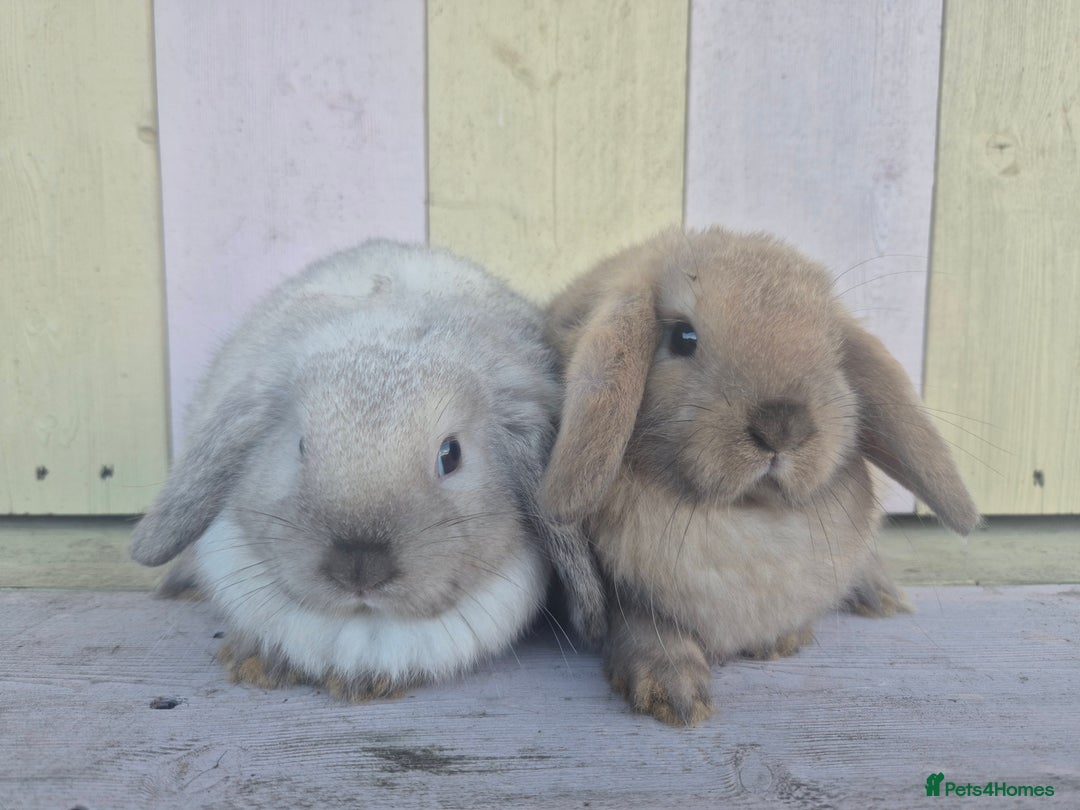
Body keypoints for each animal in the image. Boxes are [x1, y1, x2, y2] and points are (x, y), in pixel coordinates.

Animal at [540, 226, 980, 726]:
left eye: (832, 347)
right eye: (683, 337)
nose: (782, 426)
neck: (746, 514)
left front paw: (780, 641)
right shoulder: (627, 597)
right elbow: (645, 627)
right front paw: (674, 693)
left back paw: (880, 594)